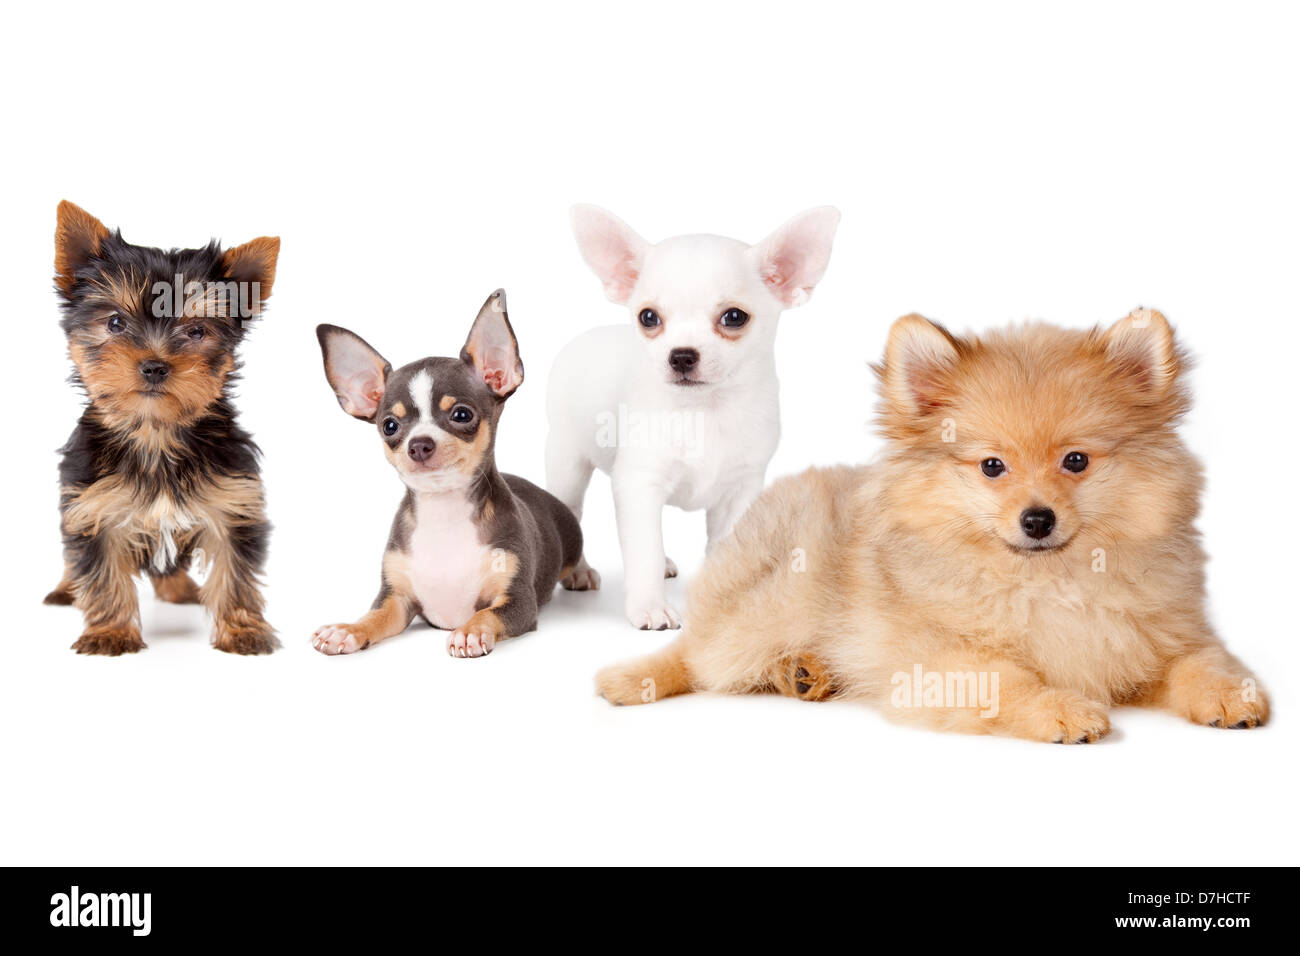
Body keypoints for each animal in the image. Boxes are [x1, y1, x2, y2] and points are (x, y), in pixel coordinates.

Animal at [44, 197, 280, 655]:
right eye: (115, 323)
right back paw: (67, 588)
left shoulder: (234, 502)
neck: (155, 433)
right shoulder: (92, 505)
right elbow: (101, 573)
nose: (154, 365)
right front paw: (110, 633)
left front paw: (243, 630)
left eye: (196, 331)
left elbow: (236, 570)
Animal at [313, 287, 585, 655]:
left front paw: (471, 630)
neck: (444, 510)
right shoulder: (396, 599)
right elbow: (374, 617)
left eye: (461, 415)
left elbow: (487, 614)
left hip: (571, 535)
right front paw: (347, 629)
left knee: (576, 558)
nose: (419, 444)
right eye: (389, 426)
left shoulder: (518, 602)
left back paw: (582, 574)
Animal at [595, 310, 1268, 743]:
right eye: (992, 466)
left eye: (1076, 461)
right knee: (698, 653)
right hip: (766, 604)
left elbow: (1200, 661)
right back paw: (638, 678)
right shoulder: (936, 656)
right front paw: (1059, 709)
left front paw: (1232, 696)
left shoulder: (1163, 630)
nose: (1037, 518)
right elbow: (1006, 678)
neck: (1049, 580)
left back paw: (805, 672)